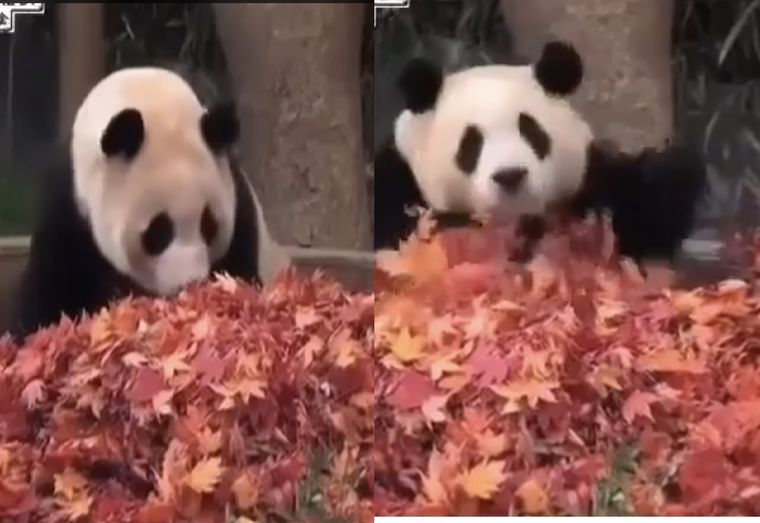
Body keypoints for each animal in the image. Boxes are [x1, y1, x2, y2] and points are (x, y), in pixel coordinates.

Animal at [9, 66, 290, 340]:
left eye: (208, 224)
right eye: (159, 230)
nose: (189, 284)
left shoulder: (239, 204)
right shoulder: (68, 209)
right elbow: (50, 293)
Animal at [374, 40, 708, 268]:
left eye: (531, 131)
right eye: (471, 143)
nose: (510, 175)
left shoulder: (588, 181)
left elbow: (642, 220)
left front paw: (669, 170)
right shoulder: (399, 181)